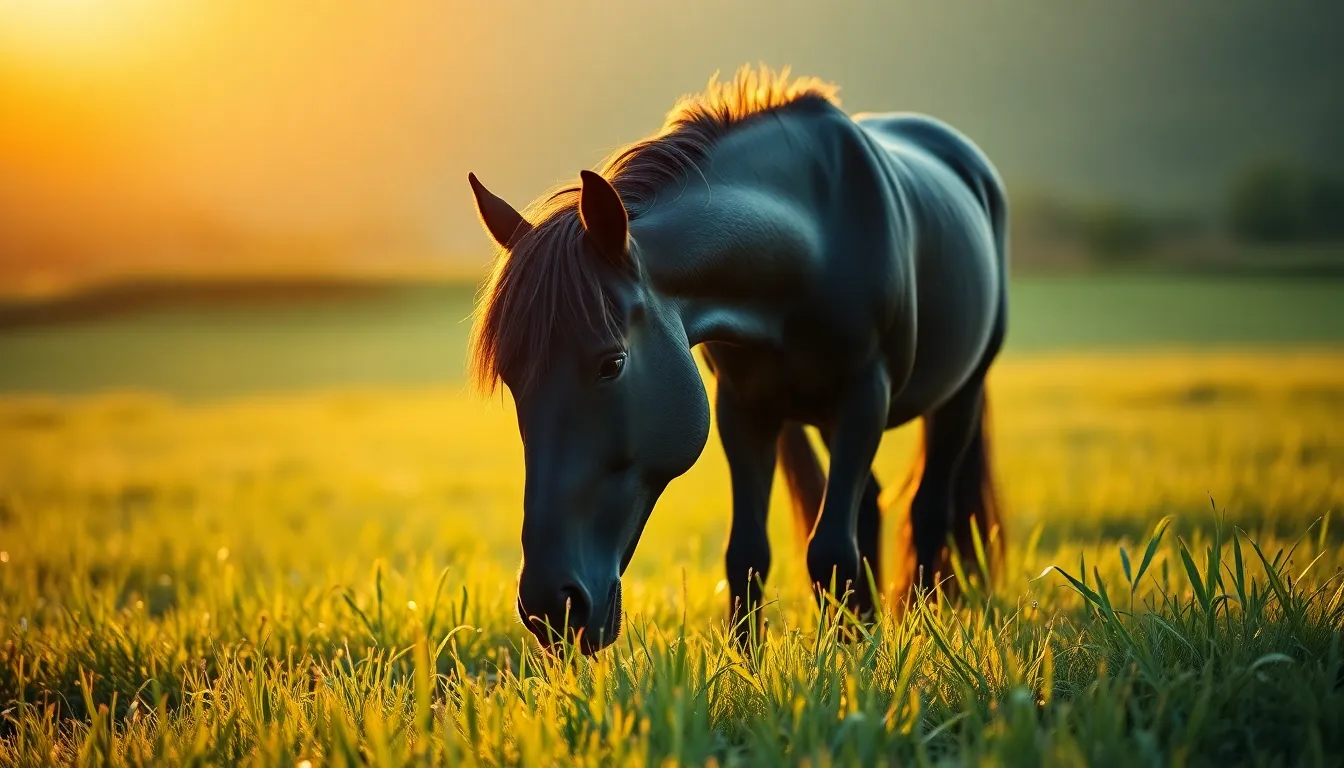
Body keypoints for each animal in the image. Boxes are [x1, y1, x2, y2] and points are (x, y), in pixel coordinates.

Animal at [466, 66, 1007, 654]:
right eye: (513, 380)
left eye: (612, 363)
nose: (550, 606)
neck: (812, 243)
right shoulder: (744, 412)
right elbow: (748, 553)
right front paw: (750, 659)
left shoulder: (865, 396)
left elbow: (830, 552)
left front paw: (853, 660)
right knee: (869, 506)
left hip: (960, 393)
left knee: (928, 510)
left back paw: (918, 617)